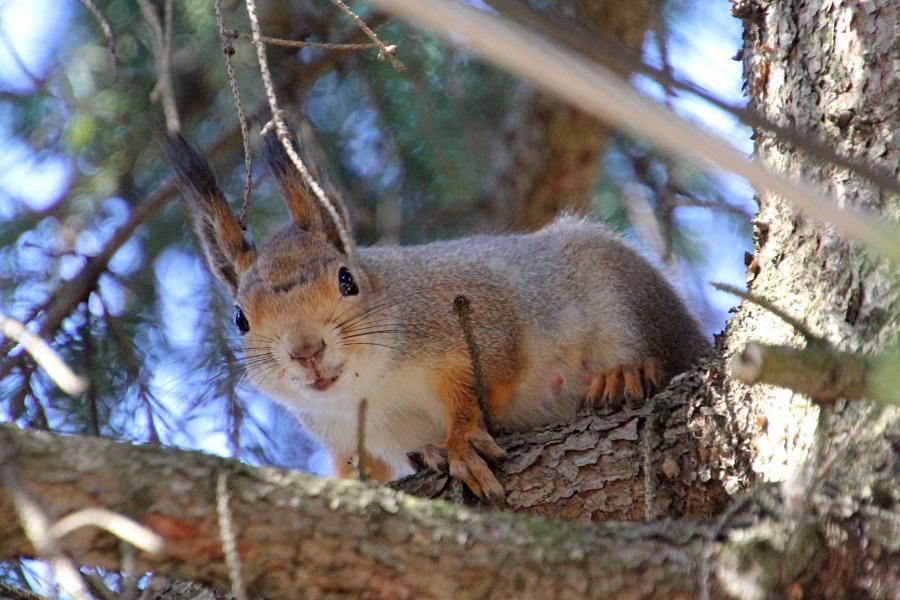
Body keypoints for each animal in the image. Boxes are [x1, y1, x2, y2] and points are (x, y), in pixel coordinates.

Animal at [163, 125, 712, 502]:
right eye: (240, 319)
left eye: (347, 281)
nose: (306, 351)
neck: (372, 390)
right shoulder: (344, 433)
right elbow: (358, 465)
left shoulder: (477, 311)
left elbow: (484, 376)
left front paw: (462, 440)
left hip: (622, 294)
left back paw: (624, 375)